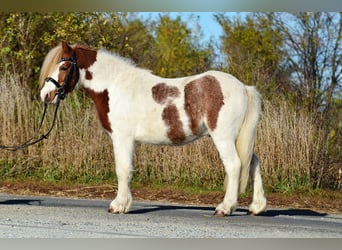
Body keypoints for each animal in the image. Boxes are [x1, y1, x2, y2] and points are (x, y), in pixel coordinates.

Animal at [39, 40, 268, 215]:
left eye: (64, 67)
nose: (45, 95)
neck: (114, 86)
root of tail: (243, 87)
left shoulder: (122, 138)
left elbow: (122, 169)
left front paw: (118, 205)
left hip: (224, 138)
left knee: (235, 165)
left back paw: (225, 207)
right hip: (237, 138)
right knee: (253, 162)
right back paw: (256, 207)